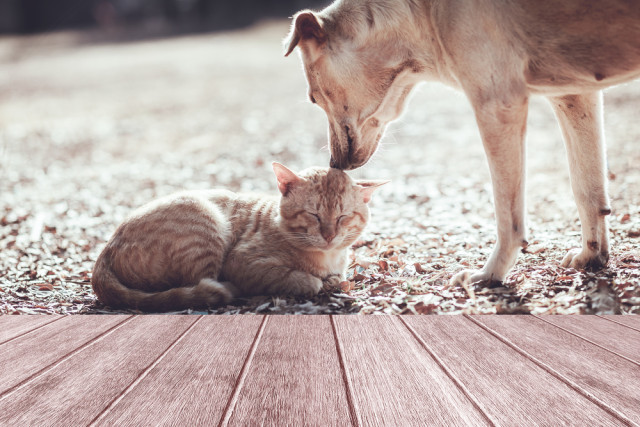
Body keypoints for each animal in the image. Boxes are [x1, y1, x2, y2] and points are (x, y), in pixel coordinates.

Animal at [90, 162, 384, 312]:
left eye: (343, 216)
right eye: (314, 215)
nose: (329, 235)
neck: (328, 257)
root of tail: (105, 251)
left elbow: (337, 278)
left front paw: (332, 279)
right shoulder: (244, 264)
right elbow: (302, 280)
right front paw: (314, 281)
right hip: (204, 220)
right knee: (199, 286)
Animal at [284, 0, 640, 288]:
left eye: (313, 98)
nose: (334, 165)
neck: (423, 12)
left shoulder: (498, 105)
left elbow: (507, 214)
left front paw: (491, 275)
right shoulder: (575, 94)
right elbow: (588, 191)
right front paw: (592, 258)